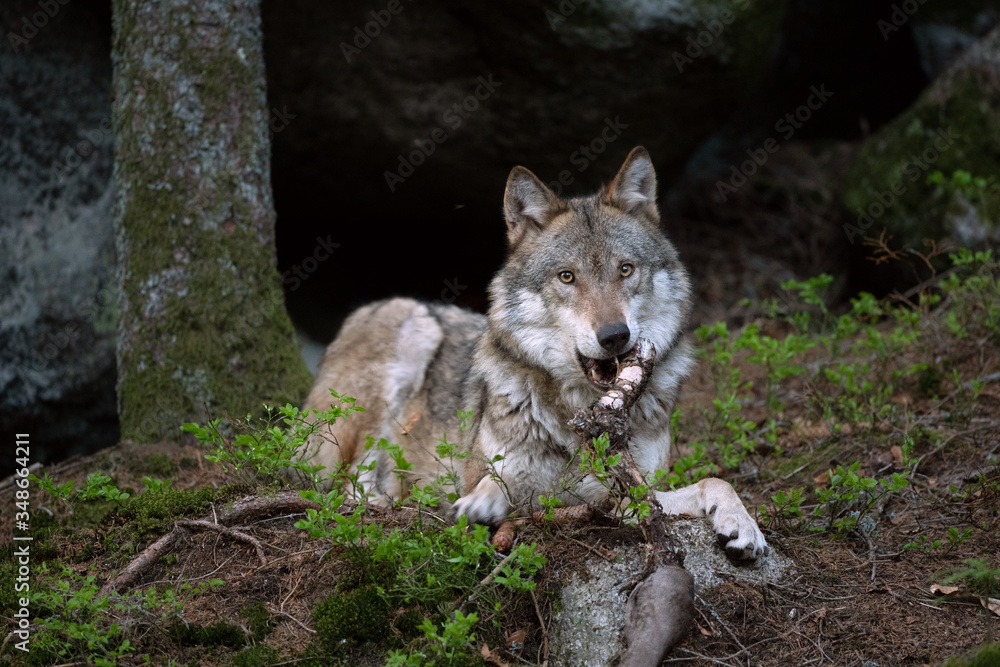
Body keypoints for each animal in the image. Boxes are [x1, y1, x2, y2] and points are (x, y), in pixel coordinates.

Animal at [301, 147, 767, 560]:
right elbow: (494, 487)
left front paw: (743, 525)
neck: (580, 412)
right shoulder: (494, 474)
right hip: (406, 333)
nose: (615, 336)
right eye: (567, 277)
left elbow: (714, 482)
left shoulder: (627, 493)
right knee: (342, 484)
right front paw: (480, 505)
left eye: (625, 270)